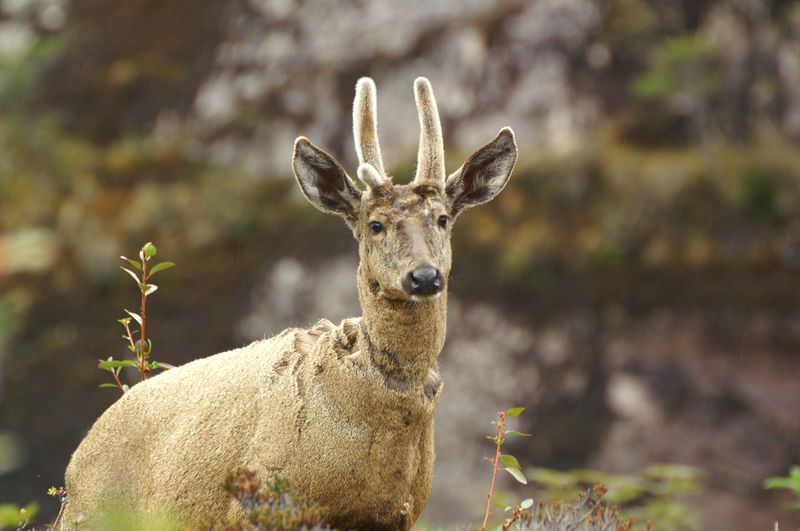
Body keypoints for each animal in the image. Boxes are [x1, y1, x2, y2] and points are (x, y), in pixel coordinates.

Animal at [65, 77, 520, 528]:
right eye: (375, 224)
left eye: (443, 219)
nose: (424, 276)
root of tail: (77, 457)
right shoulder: (259, 499)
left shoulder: (396, 514)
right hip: (89, 513)